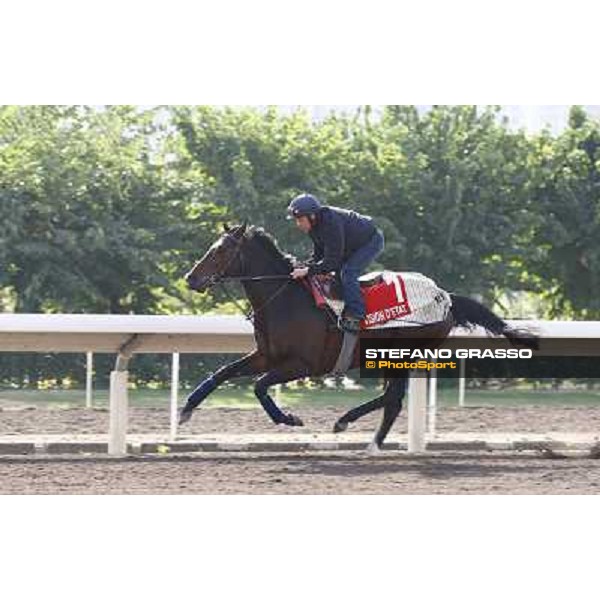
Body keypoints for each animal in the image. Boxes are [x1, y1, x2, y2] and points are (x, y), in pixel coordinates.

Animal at [180, 223, 536, 452]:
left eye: (222, 250)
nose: (190, 278)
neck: (285, 298)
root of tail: (444, 296)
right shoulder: (267, 355)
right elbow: (221, 373)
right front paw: (186, 409)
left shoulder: (304, 364)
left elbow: (259, 386)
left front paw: (289, 418)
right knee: (391, 398)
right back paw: (358, 431)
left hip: (403, 353)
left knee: (394, 399)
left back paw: (361, 435)